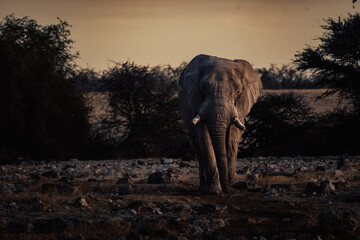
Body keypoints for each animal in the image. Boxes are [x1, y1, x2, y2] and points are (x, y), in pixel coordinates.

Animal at [179, 54, 262, 193]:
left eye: (238, 92)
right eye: (203, 89)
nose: (226, 189)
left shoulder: (239, 106)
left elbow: (233, 137)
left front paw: (230, 180)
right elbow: (204, 137)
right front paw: (214, 190)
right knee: (196, 143)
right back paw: (204, 188)